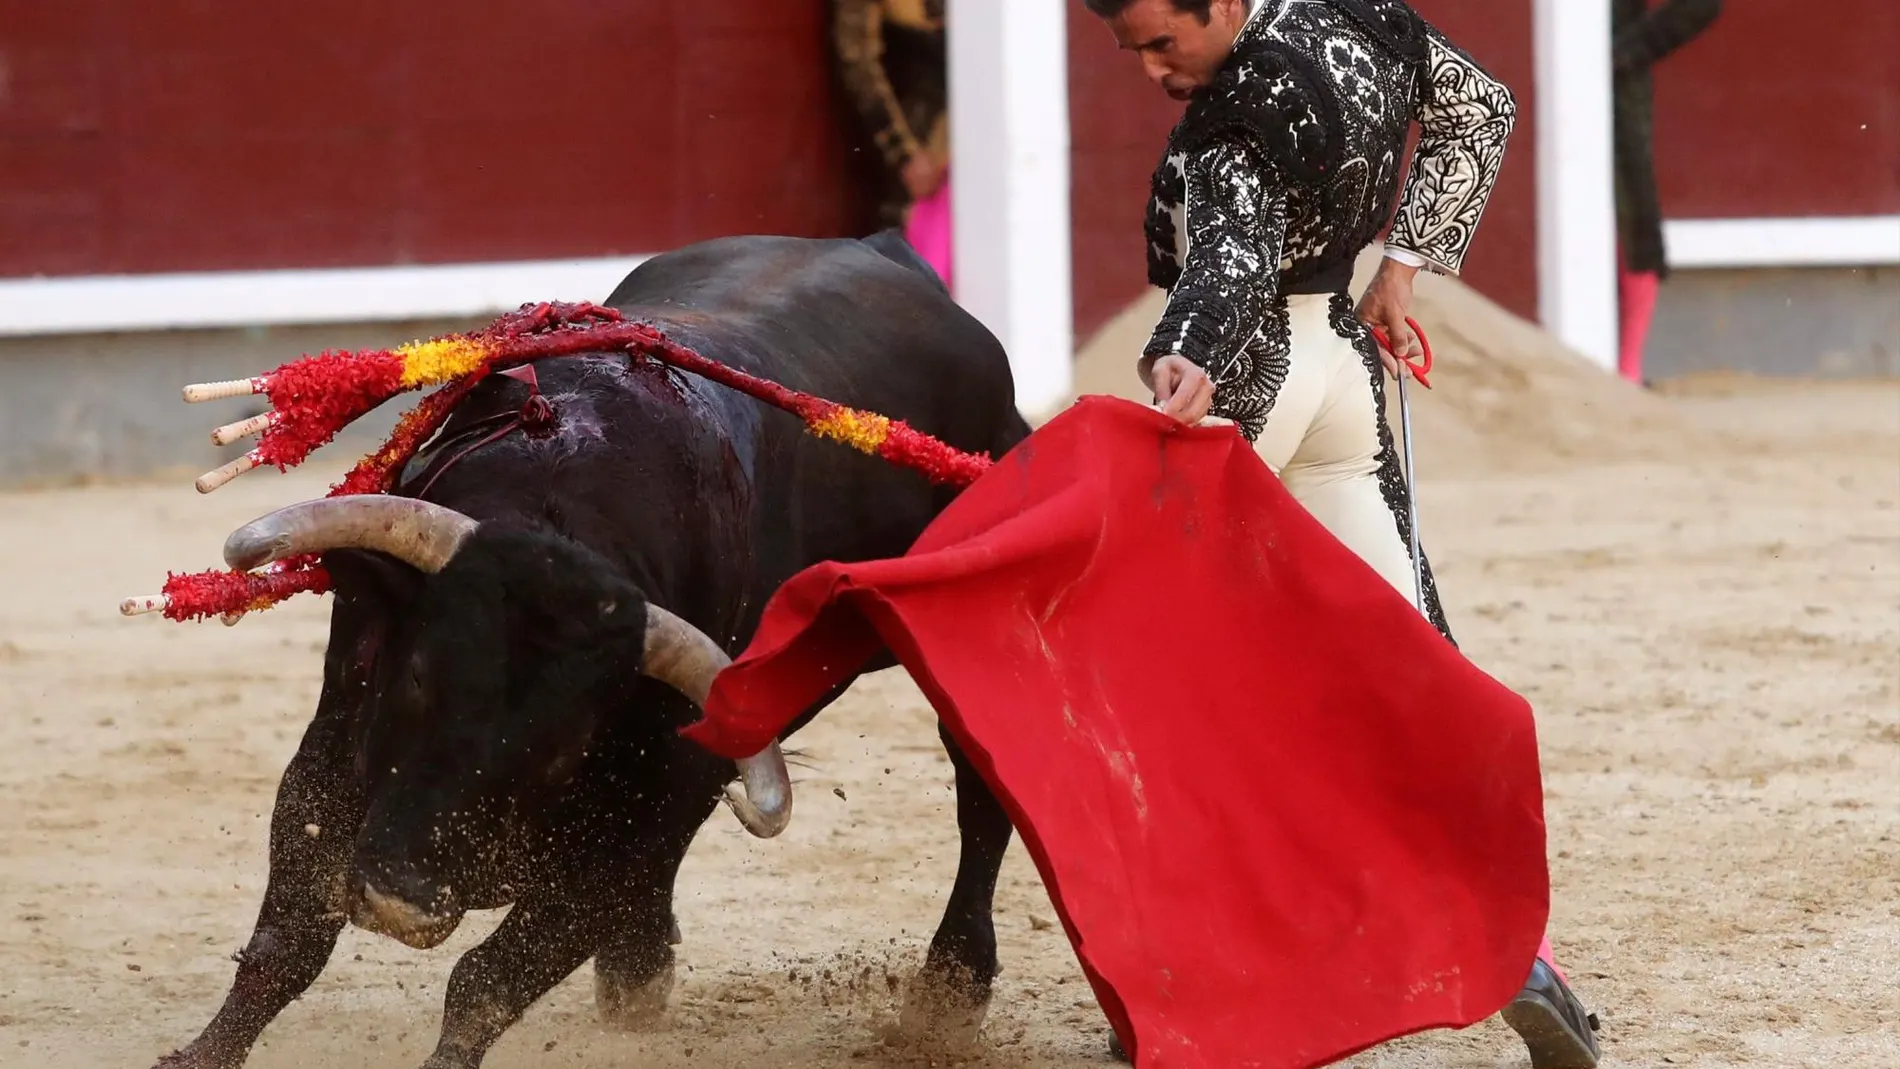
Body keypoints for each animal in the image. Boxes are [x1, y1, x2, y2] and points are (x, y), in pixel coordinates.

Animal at [150, 234, 1041, 1069]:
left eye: (564, 742)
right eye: (419, 674)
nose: (404, 897)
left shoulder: (654, 802)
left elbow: (487, 978)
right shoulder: (337, 739)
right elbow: (289, 938)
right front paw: (198, 1054)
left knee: (980, 794)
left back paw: (948, 993)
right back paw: (638, 973)